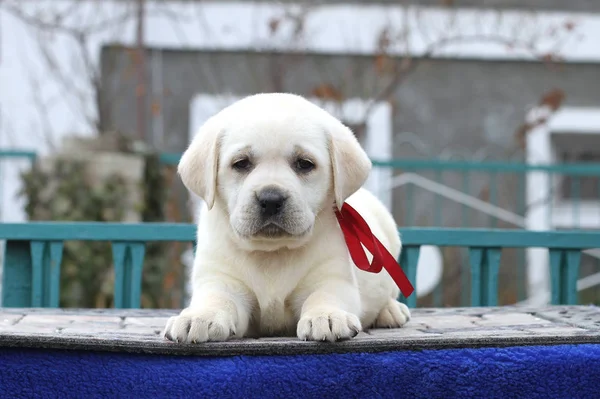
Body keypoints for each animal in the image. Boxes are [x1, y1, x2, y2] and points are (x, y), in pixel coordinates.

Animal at [162, 94, 410, 344]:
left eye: (305, 164)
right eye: (241, 163)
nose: (271, 199)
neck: (273, 253)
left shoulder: (333, 276)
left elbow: (324, 295)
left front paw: (327, 316)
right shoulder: (220, 278)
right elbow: (218, 298)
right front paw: (199, 316)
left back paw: (391, 310)